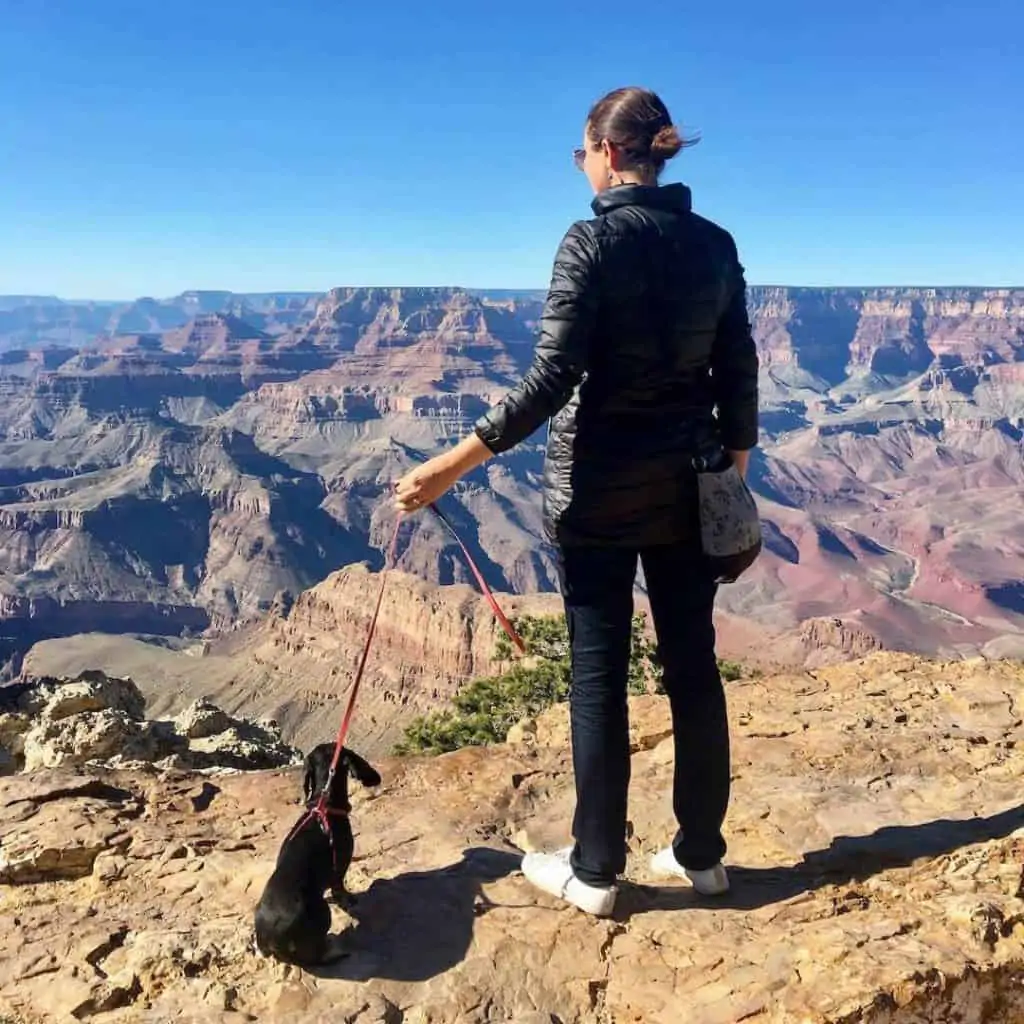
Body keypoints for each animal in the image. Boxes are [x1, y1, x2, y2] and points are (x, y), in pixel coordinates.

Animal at [253, 741, 382, 962]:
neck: (325, 805)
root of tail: (272, 937)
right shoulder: (340, 866)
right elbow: (339, 889)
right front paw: (348, 899)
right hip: (322, 914)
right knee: (316, 956)